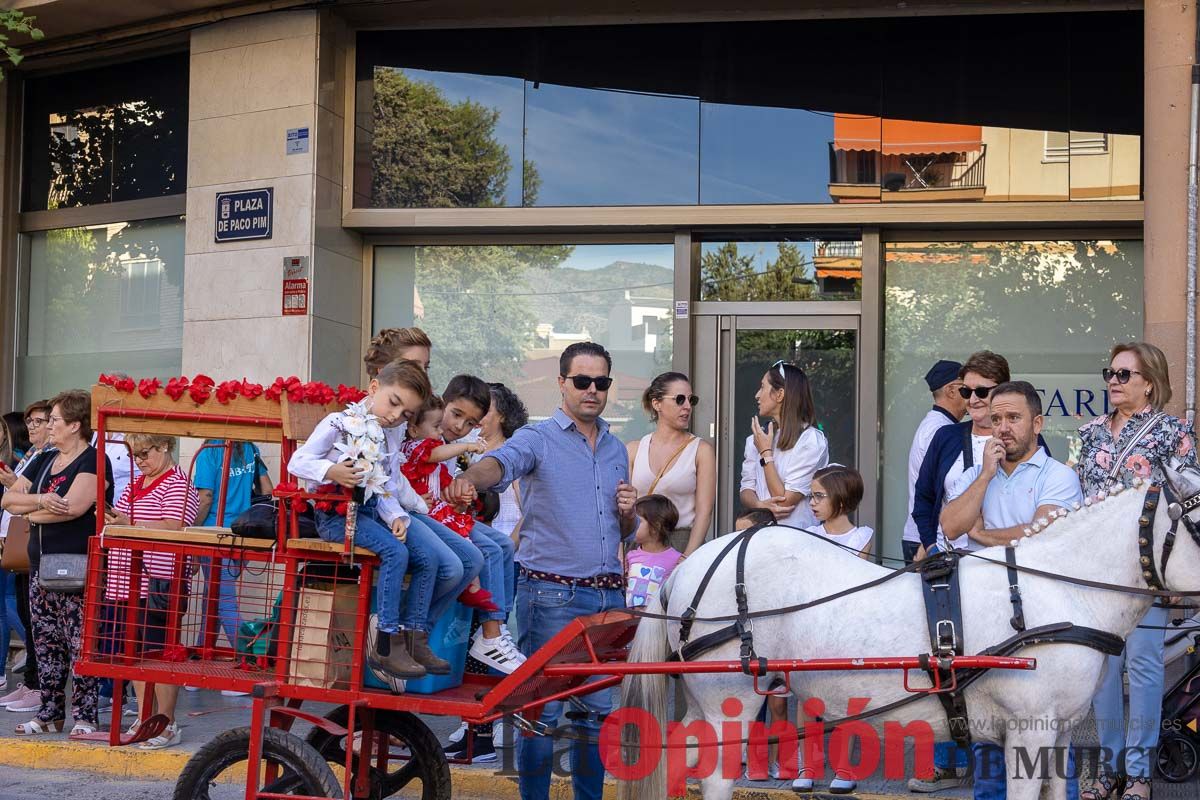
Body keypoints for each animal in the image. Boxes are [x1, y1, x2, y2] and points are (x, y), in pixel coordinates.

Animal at [619, 462, 1200, 800]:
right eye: (1197, 521)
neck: (1054, 591)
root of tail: (687, 569)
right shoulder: (1027, 731)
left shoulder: (1055, 735)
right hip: (730, 702)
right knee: (715, 775)